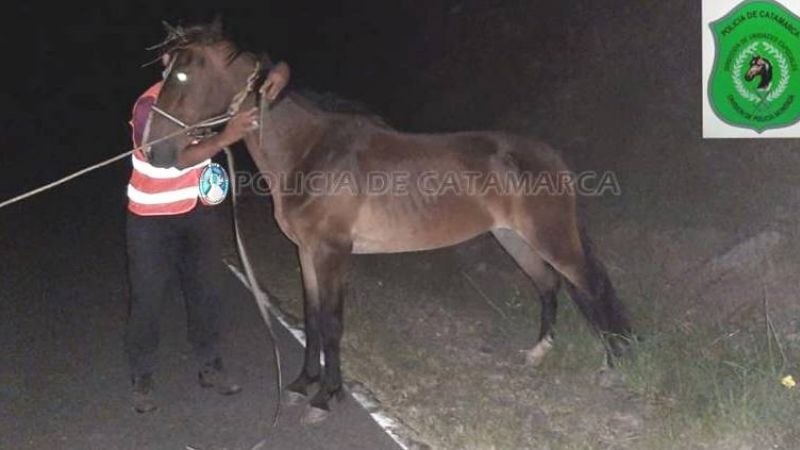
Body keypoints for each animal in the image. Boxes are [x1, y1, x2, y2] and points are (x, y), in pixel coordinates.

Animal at [146, 21, 633, 423]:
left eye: (182, 76)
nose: (155, 151)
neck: (310, 151)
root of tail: (554, 158)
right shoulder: (306, 252)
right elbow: (311, 316)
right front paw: (303, 384)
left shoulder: (333, 253)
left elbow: (332, 322)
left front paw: (327, 397)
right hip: (512, 239)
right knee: (548, 285)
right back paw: (538, 354)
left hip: (551, 239)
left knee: (591, 287)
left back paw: (614, 368)